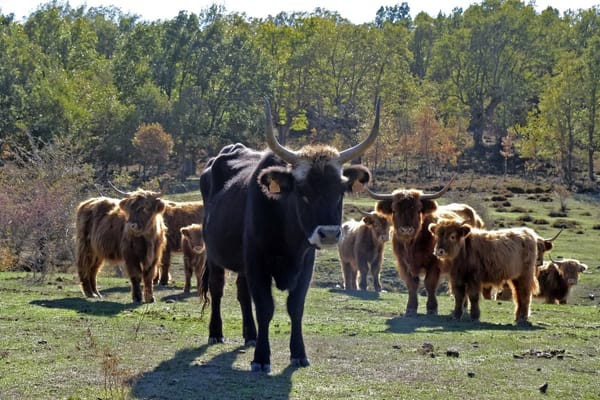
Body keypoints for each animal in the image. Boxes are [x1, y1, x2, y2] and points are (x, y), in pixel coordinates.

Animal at [200, 97, 380, 372]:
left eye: (340, 190)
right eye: (302, 191)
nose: (329, 234)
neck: (289, 238)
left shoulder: (305, 263)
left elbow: (295, 307)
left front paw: (299, 353)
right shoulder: (257, 263)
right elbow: (265, 307)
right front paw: (262, 358)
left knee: (242, 292)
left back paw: (250, 335)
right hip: (214, 255)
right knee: (217, 289)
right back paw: (216, 332)